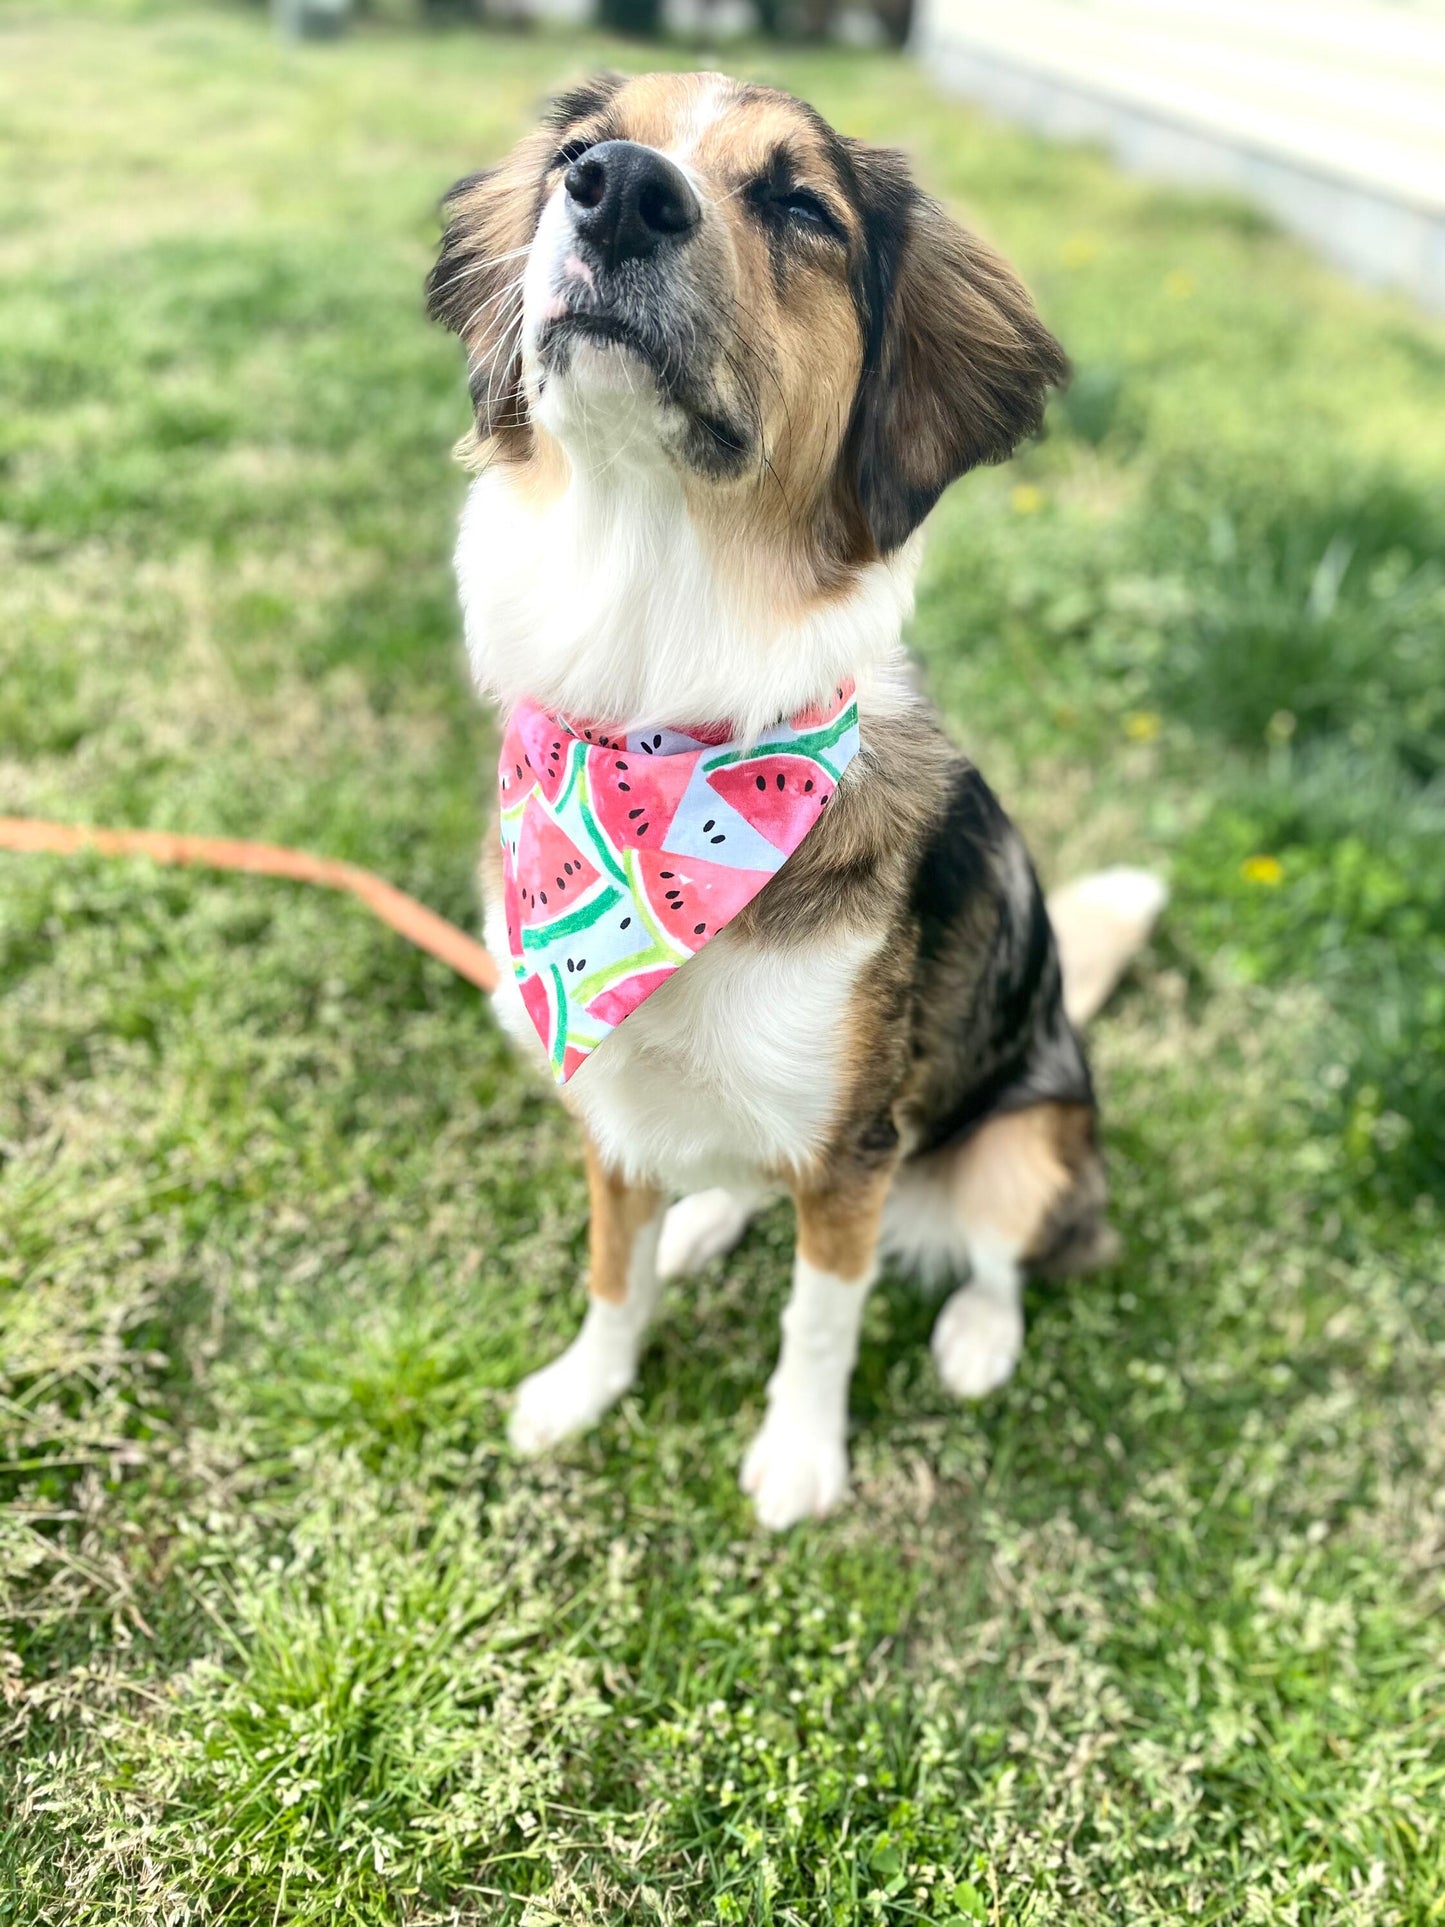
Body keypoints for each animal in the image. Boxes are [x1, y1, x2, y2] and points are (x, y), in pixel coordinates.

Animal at [427, 71, 1163, 1518]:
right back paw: (708, 1216)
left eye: (801, 207)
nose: (617, 189)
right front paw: (584, 1387)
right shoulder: (611, 1107)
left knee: (1007, 1247)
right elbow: (613, 1273)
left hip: (1023, 1137)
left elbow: (822, 1311)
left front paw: (800, 1455)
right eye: (578, 152)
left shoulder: (856, 1147)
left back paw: (977, 1332)